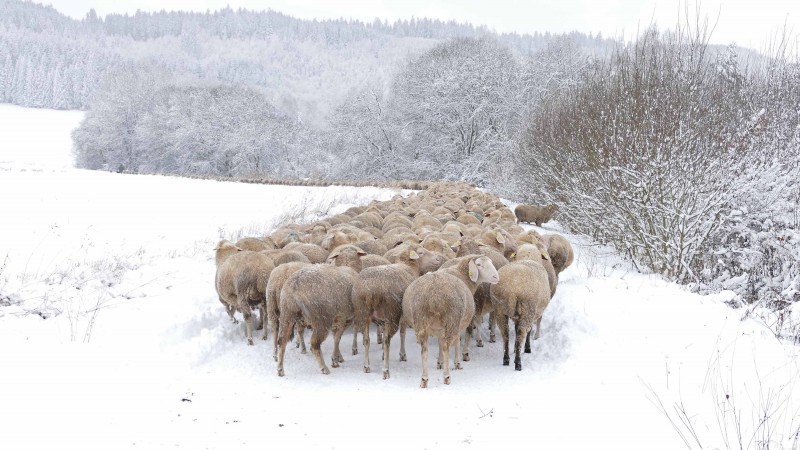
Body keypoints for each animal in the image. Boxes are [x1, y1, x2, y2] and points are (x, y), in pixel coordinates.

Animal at [274, 244, 364, 374]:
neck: (348, 266)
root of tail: (296, 286)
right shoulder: (343, 319)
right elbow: (337, 338)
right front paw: (335, 359)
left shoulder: (338, 319)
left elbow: (336, 337)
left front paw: (338, 357)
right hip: (321, 319)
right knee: (315, 343)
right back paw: (324, 368)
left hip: (287, 313)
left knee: (282, 341)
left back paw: (280, 369)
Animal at [400, 255, 500, 388]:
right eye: (479, 264)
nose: (496, 277)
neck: (462, 275)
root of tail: (433, 296)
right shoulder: (457, 323)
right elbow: (457, 341)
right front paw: (457, 362)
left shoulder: (439, 328)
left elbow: (439, 342)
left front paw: (439, 362)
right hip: (451, 319)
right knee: (446, 347)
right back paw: (446, 377)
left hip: (422, 321)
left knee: (424, 350)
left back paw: (424, 379)